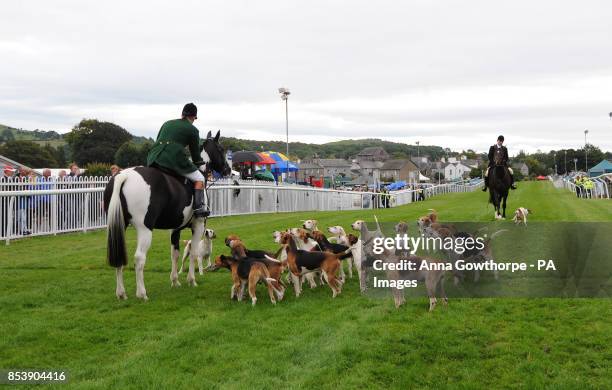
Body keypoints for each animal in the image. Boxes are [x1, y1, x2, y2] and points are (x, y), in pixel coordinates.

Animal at [104, 130, 231, 298]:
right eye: (221, 149)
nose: (228, 170)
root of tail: (123, 175)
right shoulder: (198, 226)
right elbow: (193, 253)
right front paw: (191, 280)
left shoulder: (175, 229)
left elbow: (174, 254)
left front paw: (175, 281)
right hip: (144, 229)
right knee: (139, 258)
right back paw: (142, 293)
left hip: (119, 226)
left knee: (119, 258)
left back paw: (121, 293)